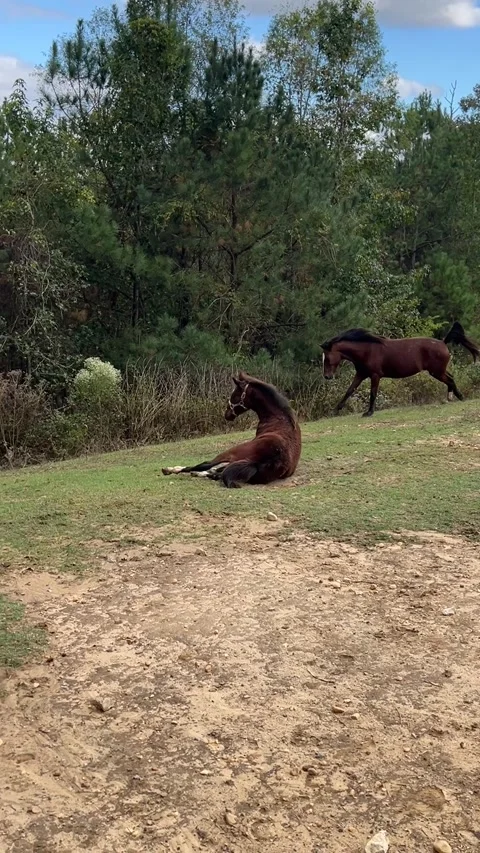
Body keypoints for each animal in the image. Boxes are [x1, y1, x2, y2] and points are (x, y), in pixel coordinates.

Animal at [162, 372, 302, 488]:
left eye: (235, 395)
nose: (227, 415)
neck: (279, 418)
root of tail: (274, 458)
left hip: (230, 452)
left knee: (205, 465)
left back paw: (171, 469)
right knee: (215, 472)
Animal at [321, 321, 480, 418]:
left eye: (327, 358)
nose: (327, 376)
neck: (367, 350)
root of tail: (443, 342)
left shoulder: (375, 375)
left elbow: (373, 393)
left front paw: (369, 412)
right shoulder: (361, 374)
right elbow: (349, 391)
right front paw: (335, 410)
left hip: (436, 372)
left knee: (450, 380)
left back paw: (459, 397)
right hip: (438, 371)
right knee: (451, 378)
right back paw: (451, 397)